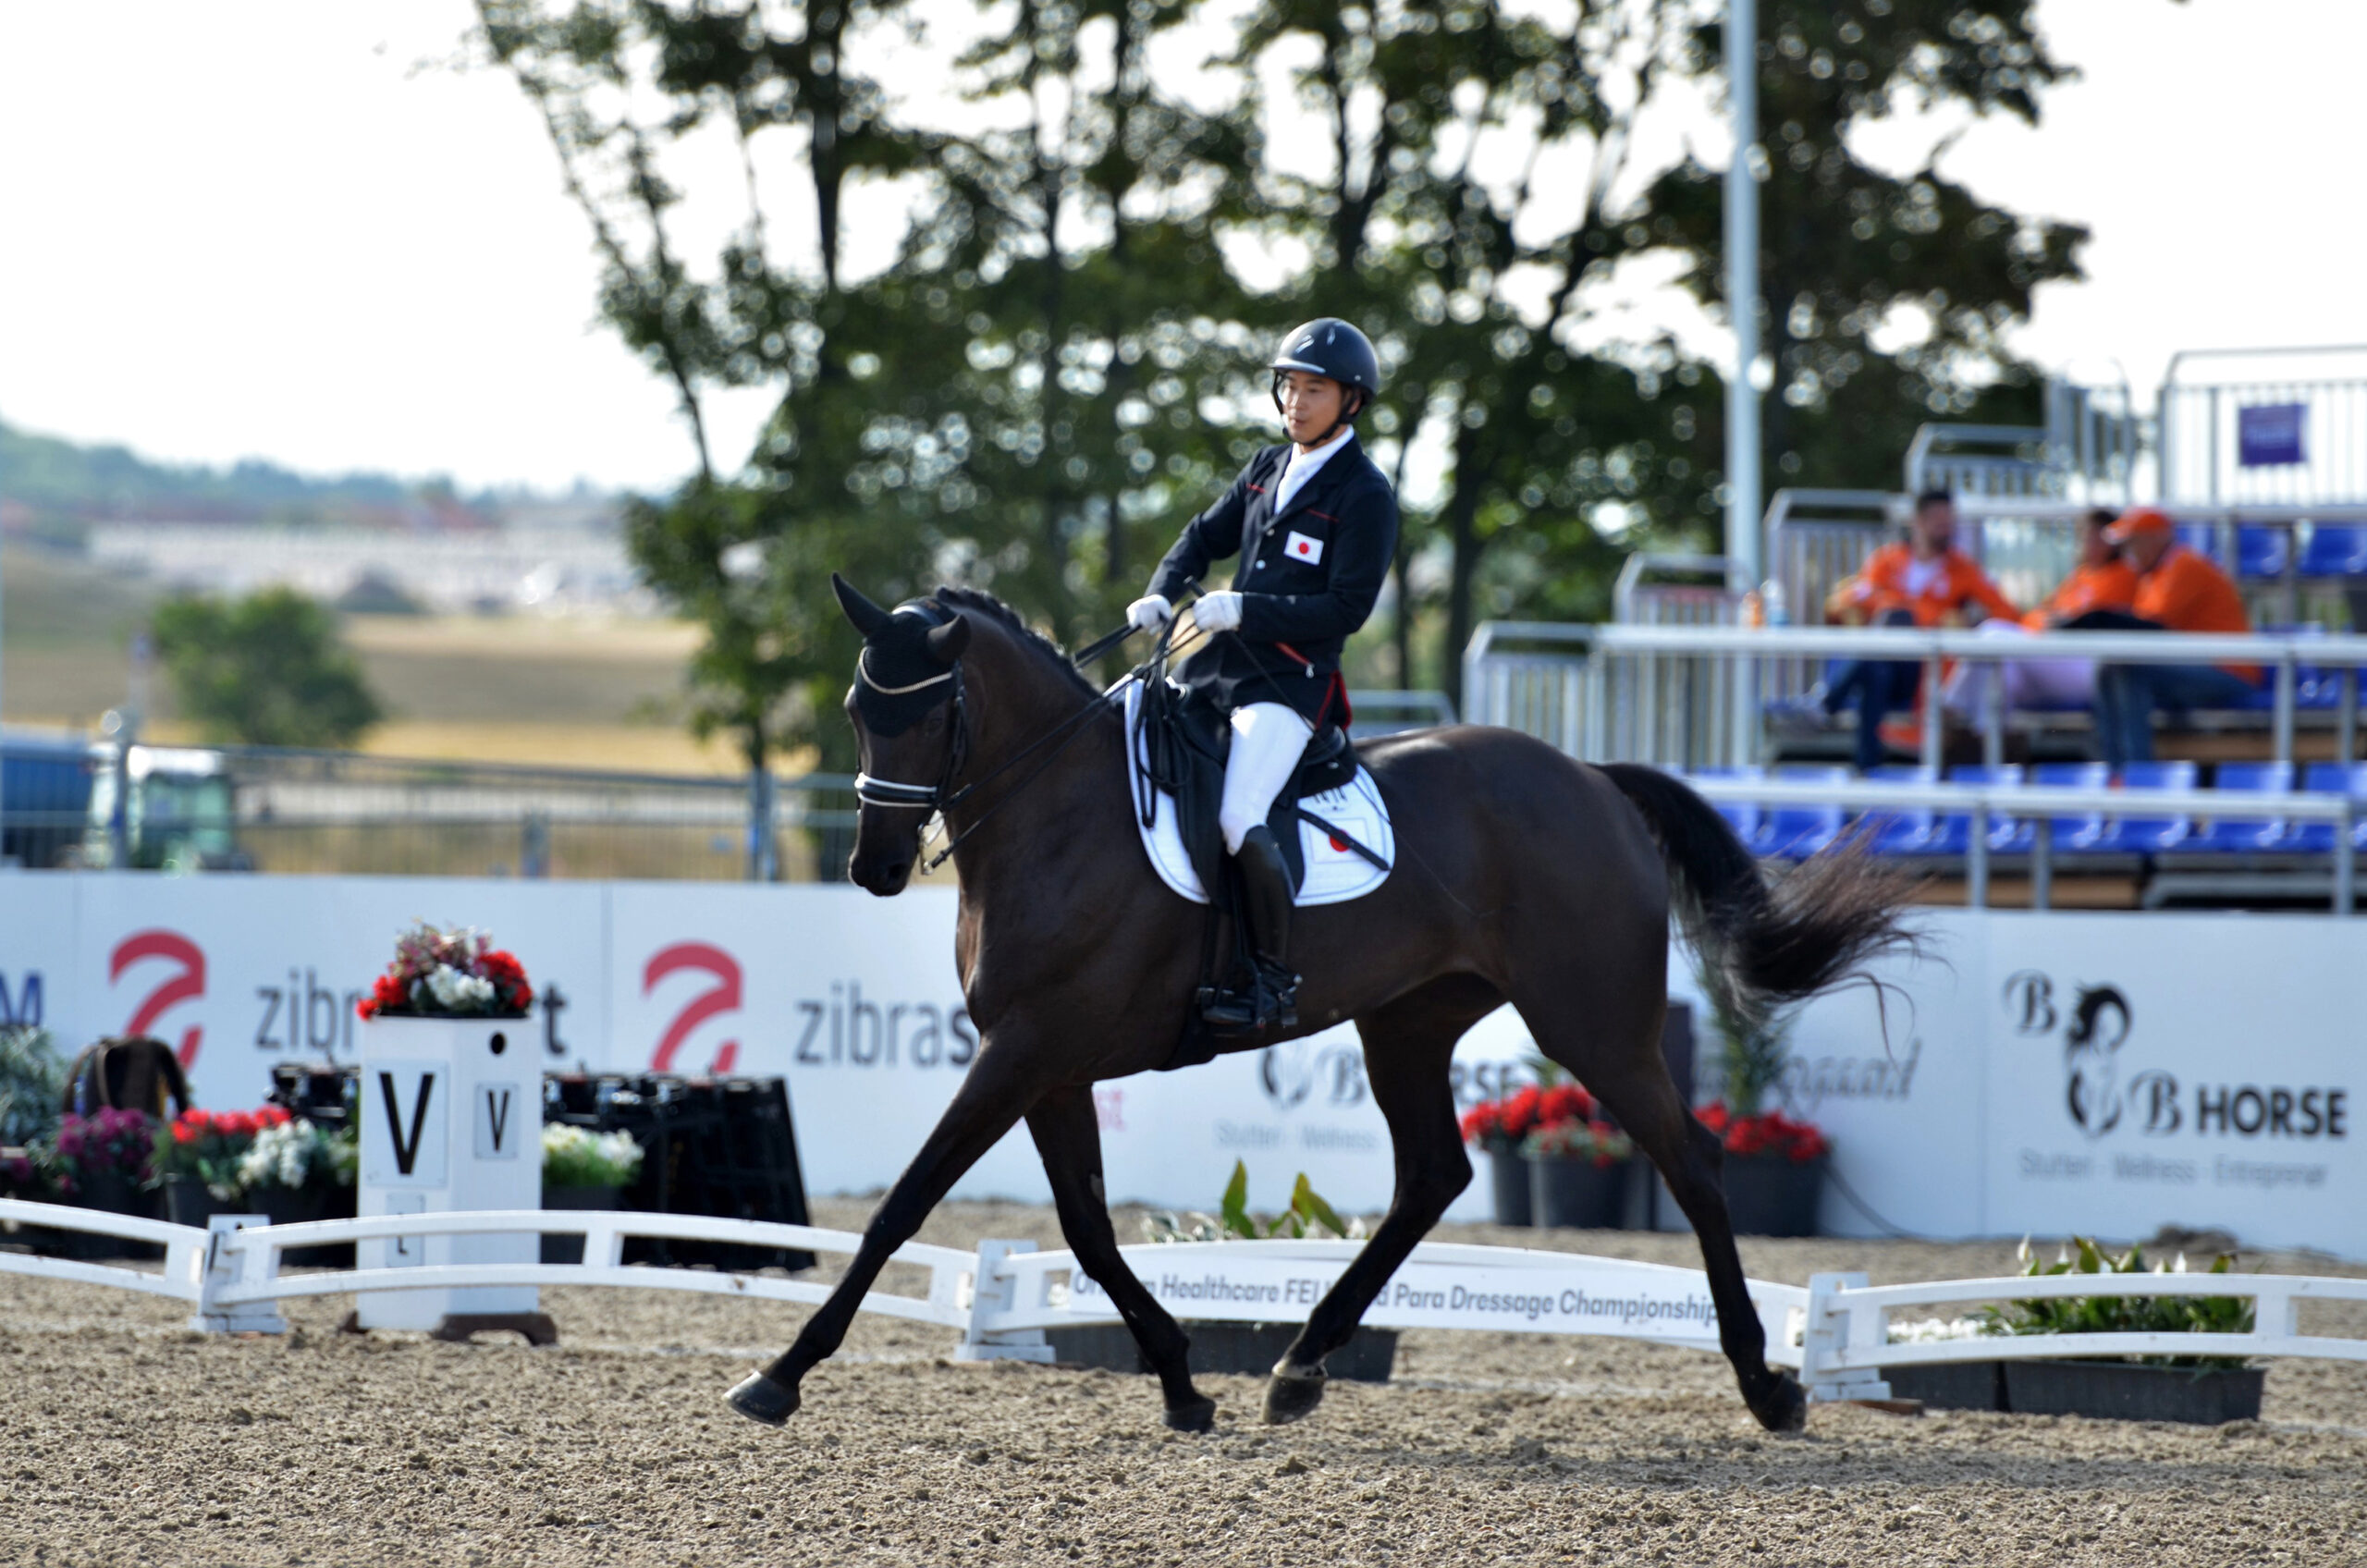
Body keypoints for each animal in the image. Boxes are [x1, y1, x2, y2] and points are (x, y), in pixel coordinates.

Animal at [729, 582, 1912, 1439]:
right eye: (859, 711)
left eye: (932, 711)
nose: (875, 867)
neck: (1056, 816)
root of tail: (1589, 776)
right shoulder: (1048, 1064)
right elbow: (1088, 1231)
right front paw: (1182, 1382)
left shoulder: (1023, 1051)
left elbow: (901, 1207)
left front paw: (779, 1375)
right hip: (1408, 1022)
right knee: (1432, 1175)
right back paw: (1297, 1365)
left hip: (1592, 1027)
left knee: (1694, 1163)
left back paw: (1769, 1387)